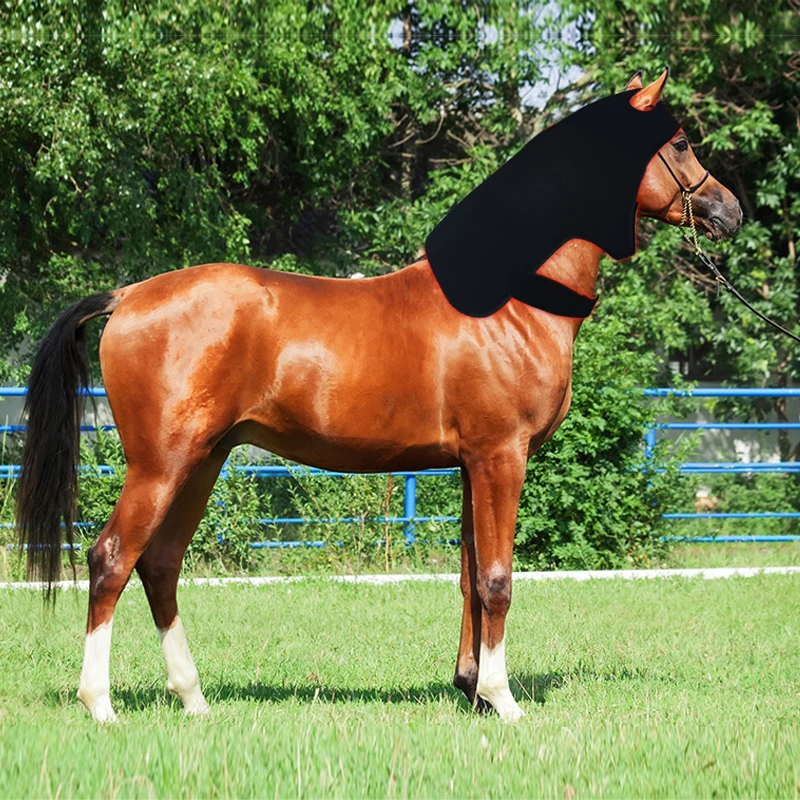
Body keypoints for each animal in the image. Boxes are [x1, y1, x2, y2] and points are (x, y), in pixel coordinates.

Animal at [16, 70, 742, 723]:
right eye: (679, 143)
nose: (730, 210)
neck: (513, 299)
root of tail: (128, 296)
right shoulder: (501, 457)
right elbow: (498, 580)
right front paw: (502, 700)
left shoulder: (471, 465)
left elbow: (469, 577)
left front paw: (470, 689)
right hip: (161, 464)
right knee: (111, 559)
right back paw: (101, 704)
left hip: (203, 460)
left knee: (161, 565)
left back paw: (194, 700)